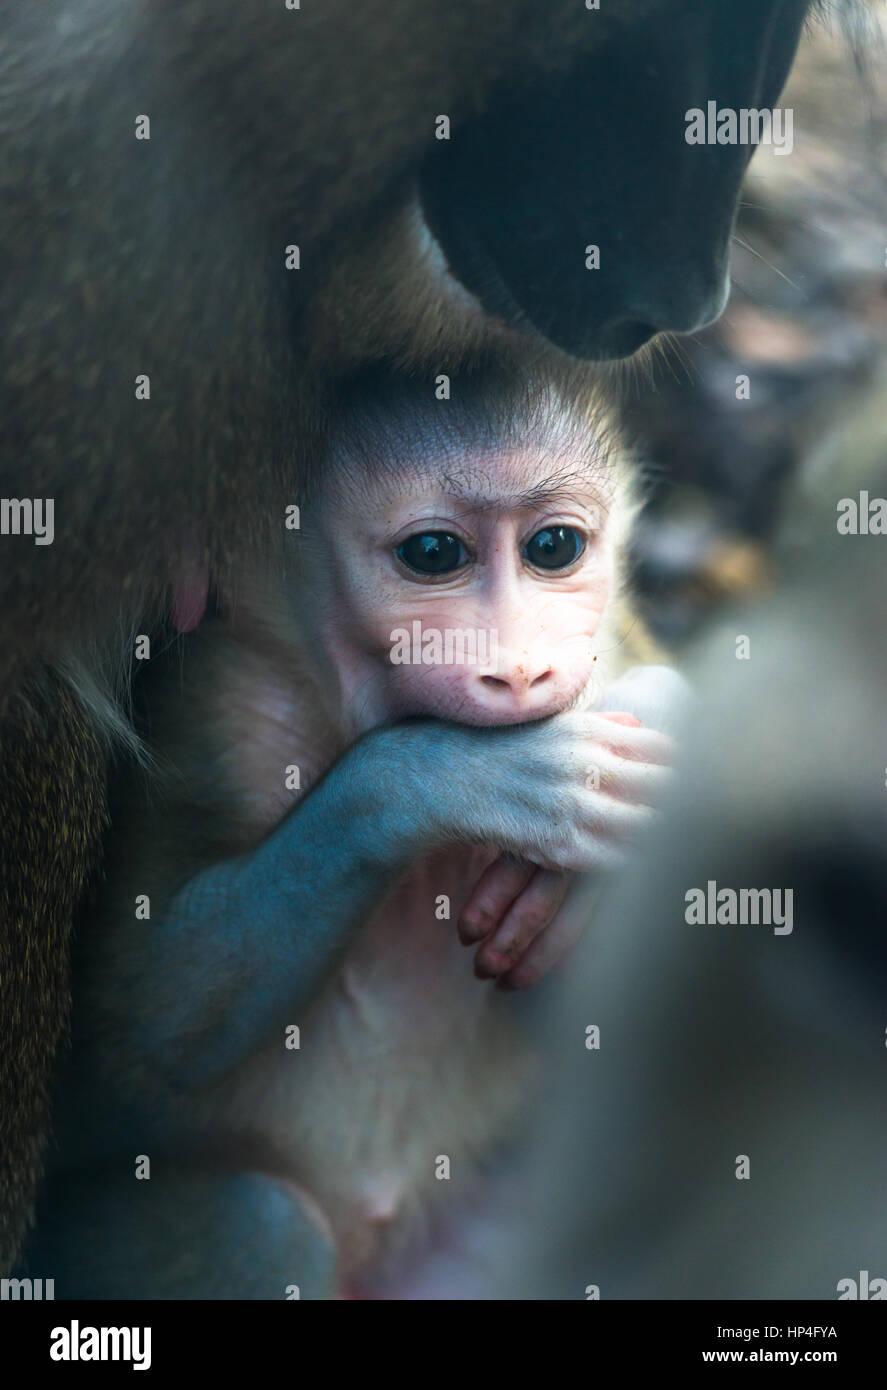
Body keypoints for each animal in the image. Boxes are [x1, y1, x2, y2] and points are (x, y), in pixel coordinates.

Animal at [15, 364, 690, 1299]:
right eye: (434, 555)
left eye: (553, 547)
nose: (522, 669)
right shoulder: (220, 709)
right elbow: (132, 1031)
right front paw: (439, 776)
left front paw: (664, 715)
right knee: (260, 1226)